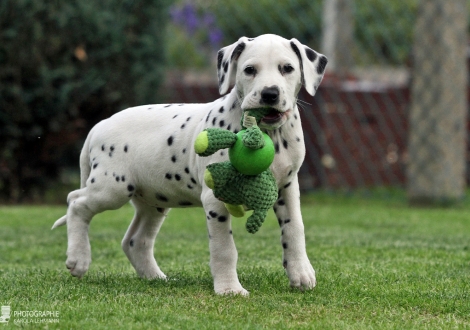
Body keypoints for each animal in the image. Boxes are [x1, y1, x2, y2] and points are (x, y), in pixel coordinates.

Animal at [52, 34, 326, 296]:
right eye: (249, 70)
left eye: (287, 68)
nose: (270, 93)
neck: (270, 134)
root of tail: (99, 125)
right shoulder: (215, 200)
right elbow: (225, 248)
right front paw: (229, 288)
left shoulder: (287, 189)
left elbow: (294, 230)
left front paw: (301, 273)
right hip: (111, 188)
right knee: (76, 202)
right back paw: (78, 259)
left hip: (154, 201)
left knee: (134, 241)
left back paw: (155, 277)